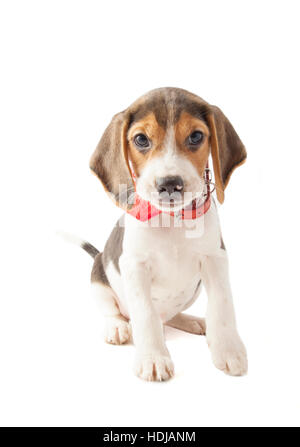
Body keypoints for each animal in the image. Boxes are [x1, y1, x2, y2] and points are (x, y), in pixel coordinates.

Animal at [78, 89, 248, 384]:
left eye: (196, 136)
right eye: (141, 139)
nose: (170, 183)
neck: (173, 221)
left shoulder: (215, 258)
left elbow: (223, 305)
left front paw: (228, 349)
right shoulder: (135, 266)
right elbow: (145, 315)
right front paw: (153, 358)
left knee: (168, 316)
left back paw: (192, 321)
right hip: (99, 276)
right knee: (115, 311)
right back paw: (117, 328)